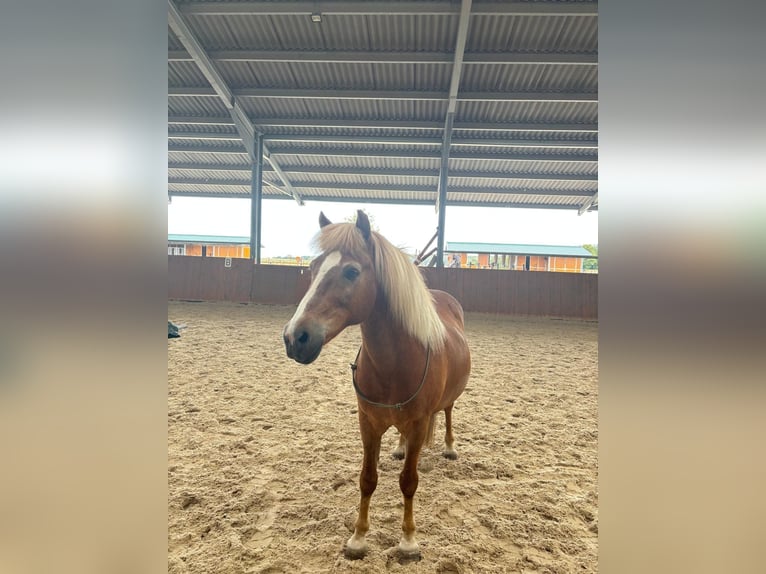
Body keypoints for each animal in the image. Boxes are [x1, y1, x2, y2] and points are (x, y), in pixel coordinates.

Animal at [282, 210, 471, 561]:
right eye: (314, 267)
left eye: (352, 271)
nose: (295, 337)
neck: (395, 364)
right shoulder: (368, 423)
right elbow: (367, 479)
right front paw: (358, 538)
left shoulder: (419, 423)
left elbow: (408, 482)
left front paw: (408, 541)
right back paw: (398, 447)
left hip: (448, 401)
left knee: (449, 412)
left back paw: (450, 447)